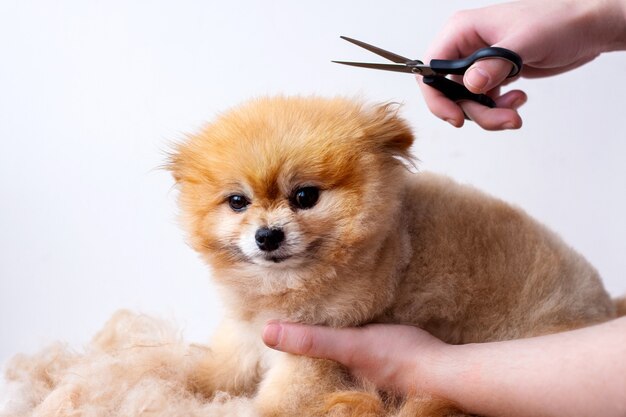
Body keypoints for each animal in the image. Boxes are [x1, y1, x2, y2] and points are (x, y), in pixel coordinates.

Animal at [167, 95, 616, 416]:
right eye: (237, 202)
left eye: (305, 196)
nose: (267, 235)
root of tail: (602, 305)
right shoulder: (246, 333)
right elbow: (222, 368)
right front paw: (190, 382)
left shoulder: (311, 354)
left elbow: (279, 403)